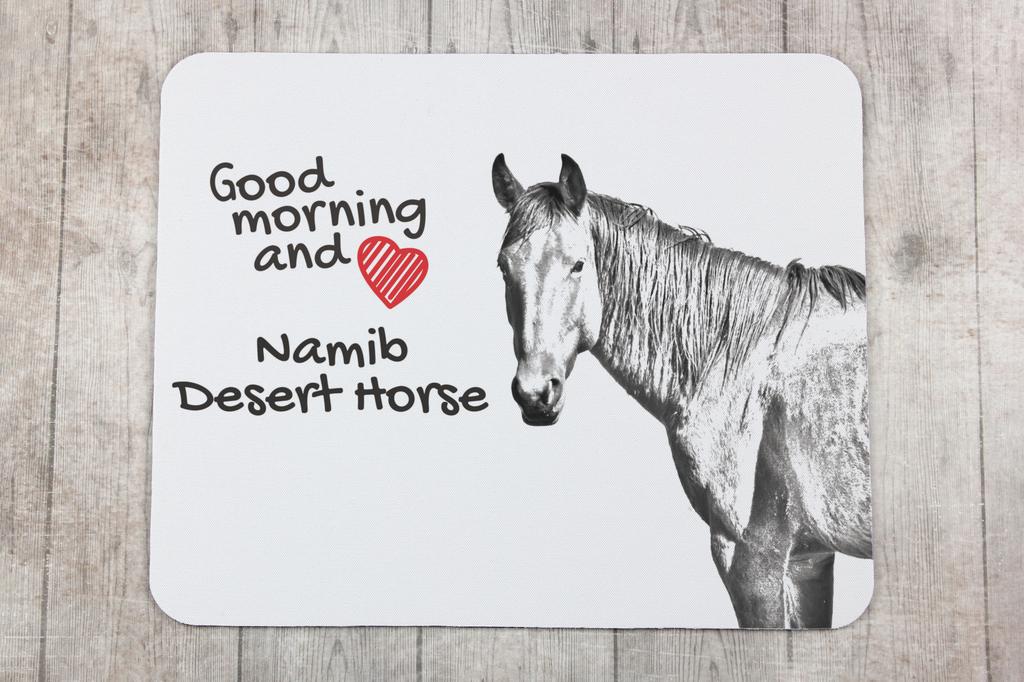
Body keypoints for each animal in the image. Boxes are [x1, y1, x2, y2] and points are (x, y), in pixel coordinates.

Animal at [490, 153, 871, 629]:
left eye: (577, 264)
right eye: (504, 266)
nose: (535, 392)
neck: (740, 361)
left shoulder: (752, 555)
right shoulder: (809, 559)